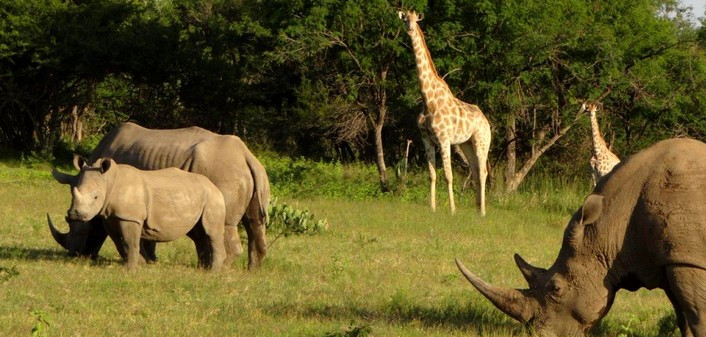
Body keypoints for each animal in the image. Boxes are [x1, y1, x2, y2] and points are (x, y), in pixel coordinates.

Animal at [396, 11, 490, 215]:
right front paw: (432, 207)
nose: (410, 28)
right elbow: (432, 175)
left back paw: (483, 211)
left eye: (415, 20)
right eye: (405, 19)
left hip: (482, 140)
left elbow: (448, 175)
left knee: (483, 171)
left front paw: (452, 209)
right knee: (475, 170)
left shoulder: (444, 139)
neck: (428, 100)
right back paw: (477, 210)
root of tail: (487, 121)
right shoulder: (426, 139)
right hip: (466, 143)